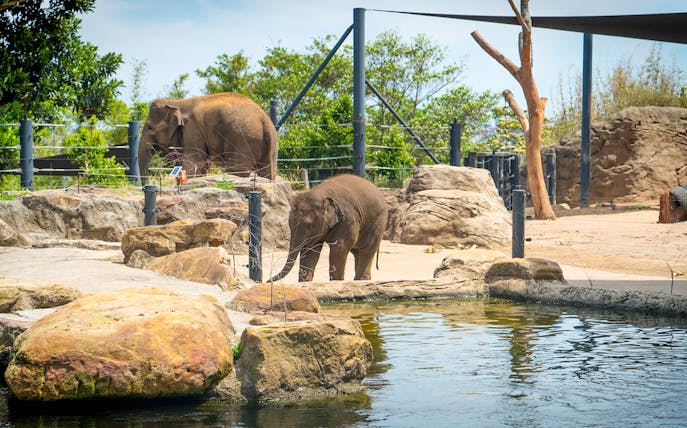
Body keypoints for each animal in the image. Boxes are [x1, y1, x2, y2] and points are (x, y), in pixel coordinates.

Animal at [138, 92, 278, 180]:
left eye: (150, 128)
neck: (177, 102)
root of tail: (265, 121)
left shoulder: (192, 128)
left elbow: (194, 162)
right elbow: (202, 165)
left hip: (243, 139)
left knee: (238, 169)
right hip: (270, 146)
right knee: (267, 171)